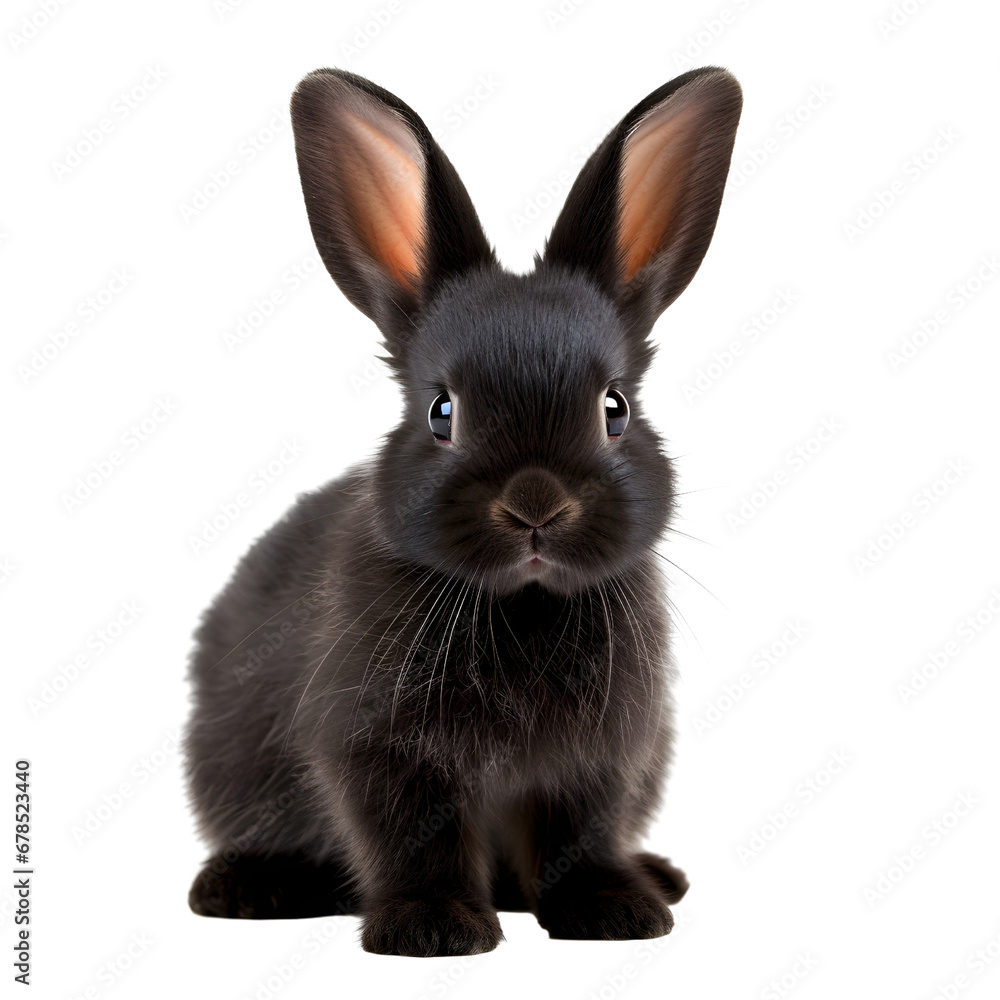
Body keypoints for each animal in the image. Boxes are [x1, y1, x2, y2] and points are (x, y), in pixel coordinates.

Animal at [184, 65, 742, 956]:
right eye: (442, 411)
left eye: (614, 408)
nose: (535, 505)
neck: (525, 605)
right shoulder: (383, 755)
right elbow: (414, 839)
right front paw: (433, 929)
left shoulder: (596, 762)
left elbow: (581, 832)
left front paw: (615, 914)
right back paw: (246, 888)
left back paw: (657, 878)